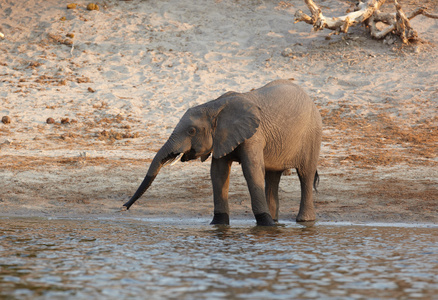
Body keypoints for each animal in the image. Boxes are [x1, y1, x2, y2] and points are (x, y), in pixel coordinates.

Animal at [123, 79, 322, 225]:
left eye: (192, 131)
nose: (124, 207)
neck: (214, 106)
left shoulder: (254, 136)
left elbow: (252, 171)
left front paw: (264, 224)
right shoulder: (222, 137)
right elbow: (218, 173)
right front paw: (218, 224)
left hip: (312, 135)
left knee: (305, 175)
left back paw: (302, 221)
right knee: (273, 177)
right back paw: (275, 221)